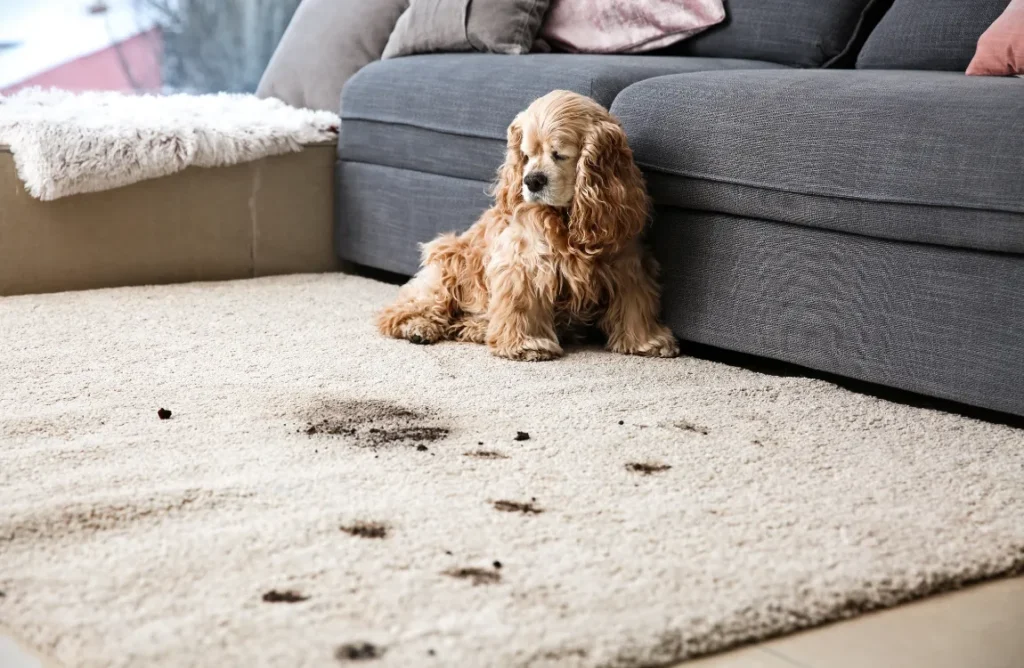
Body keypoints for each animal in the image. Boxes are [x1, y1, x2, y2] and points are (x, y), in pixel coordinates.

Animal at [376, 90, 679, 362]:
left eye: (559, 154)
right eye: (526, 154)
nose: (532, 180)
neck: (566, 218)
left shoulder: (627, 262)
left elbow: (635, 304)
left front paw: (647, 341)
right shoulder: (524, 262)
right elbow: (522, 303)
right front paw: (526, 346)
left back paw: (476, 328)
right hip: (447, 266)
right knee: (401, 309)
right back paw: (418, 327)